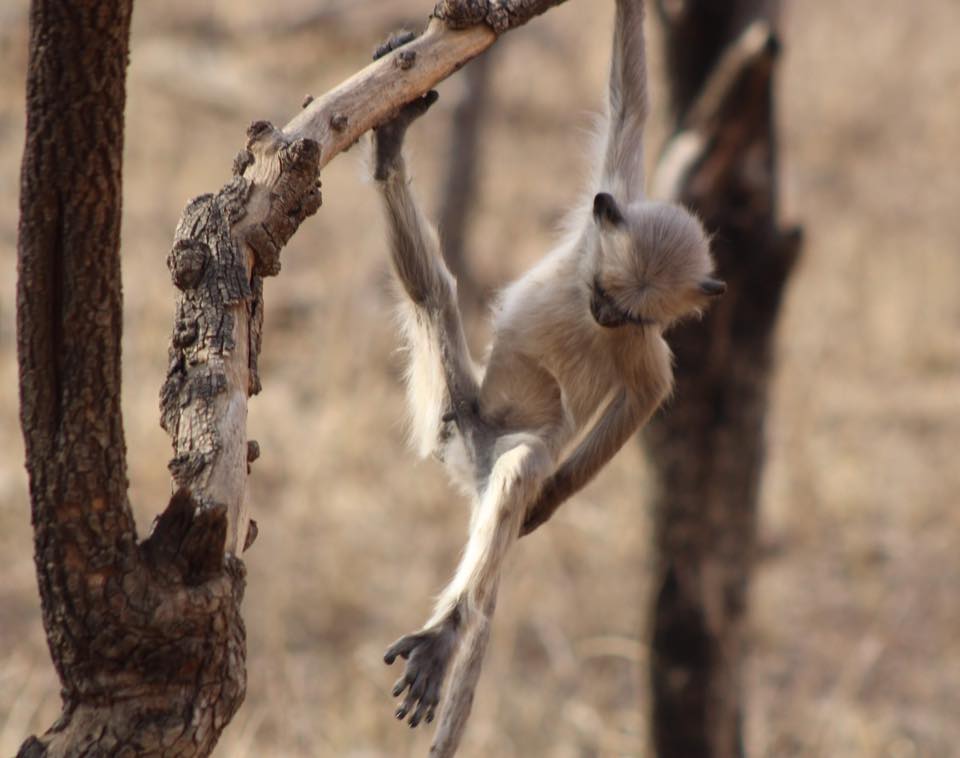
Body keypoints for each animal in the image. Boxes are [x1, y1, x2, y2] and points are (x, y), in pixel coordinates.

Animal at [372, 2, 724, 756]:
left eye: (625, 311)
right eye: (602, 292)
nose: (601, 313)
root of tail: (471, 460)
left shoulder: (642, 345)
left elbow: (648, 397)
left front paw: (551, 503)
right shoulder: (613, 198)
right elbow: (629, 102)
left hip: (493, 445)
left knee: (522, 466)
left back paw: (450, 628)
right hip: (454, 406)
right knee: (429, 293)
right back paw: (387, 145)